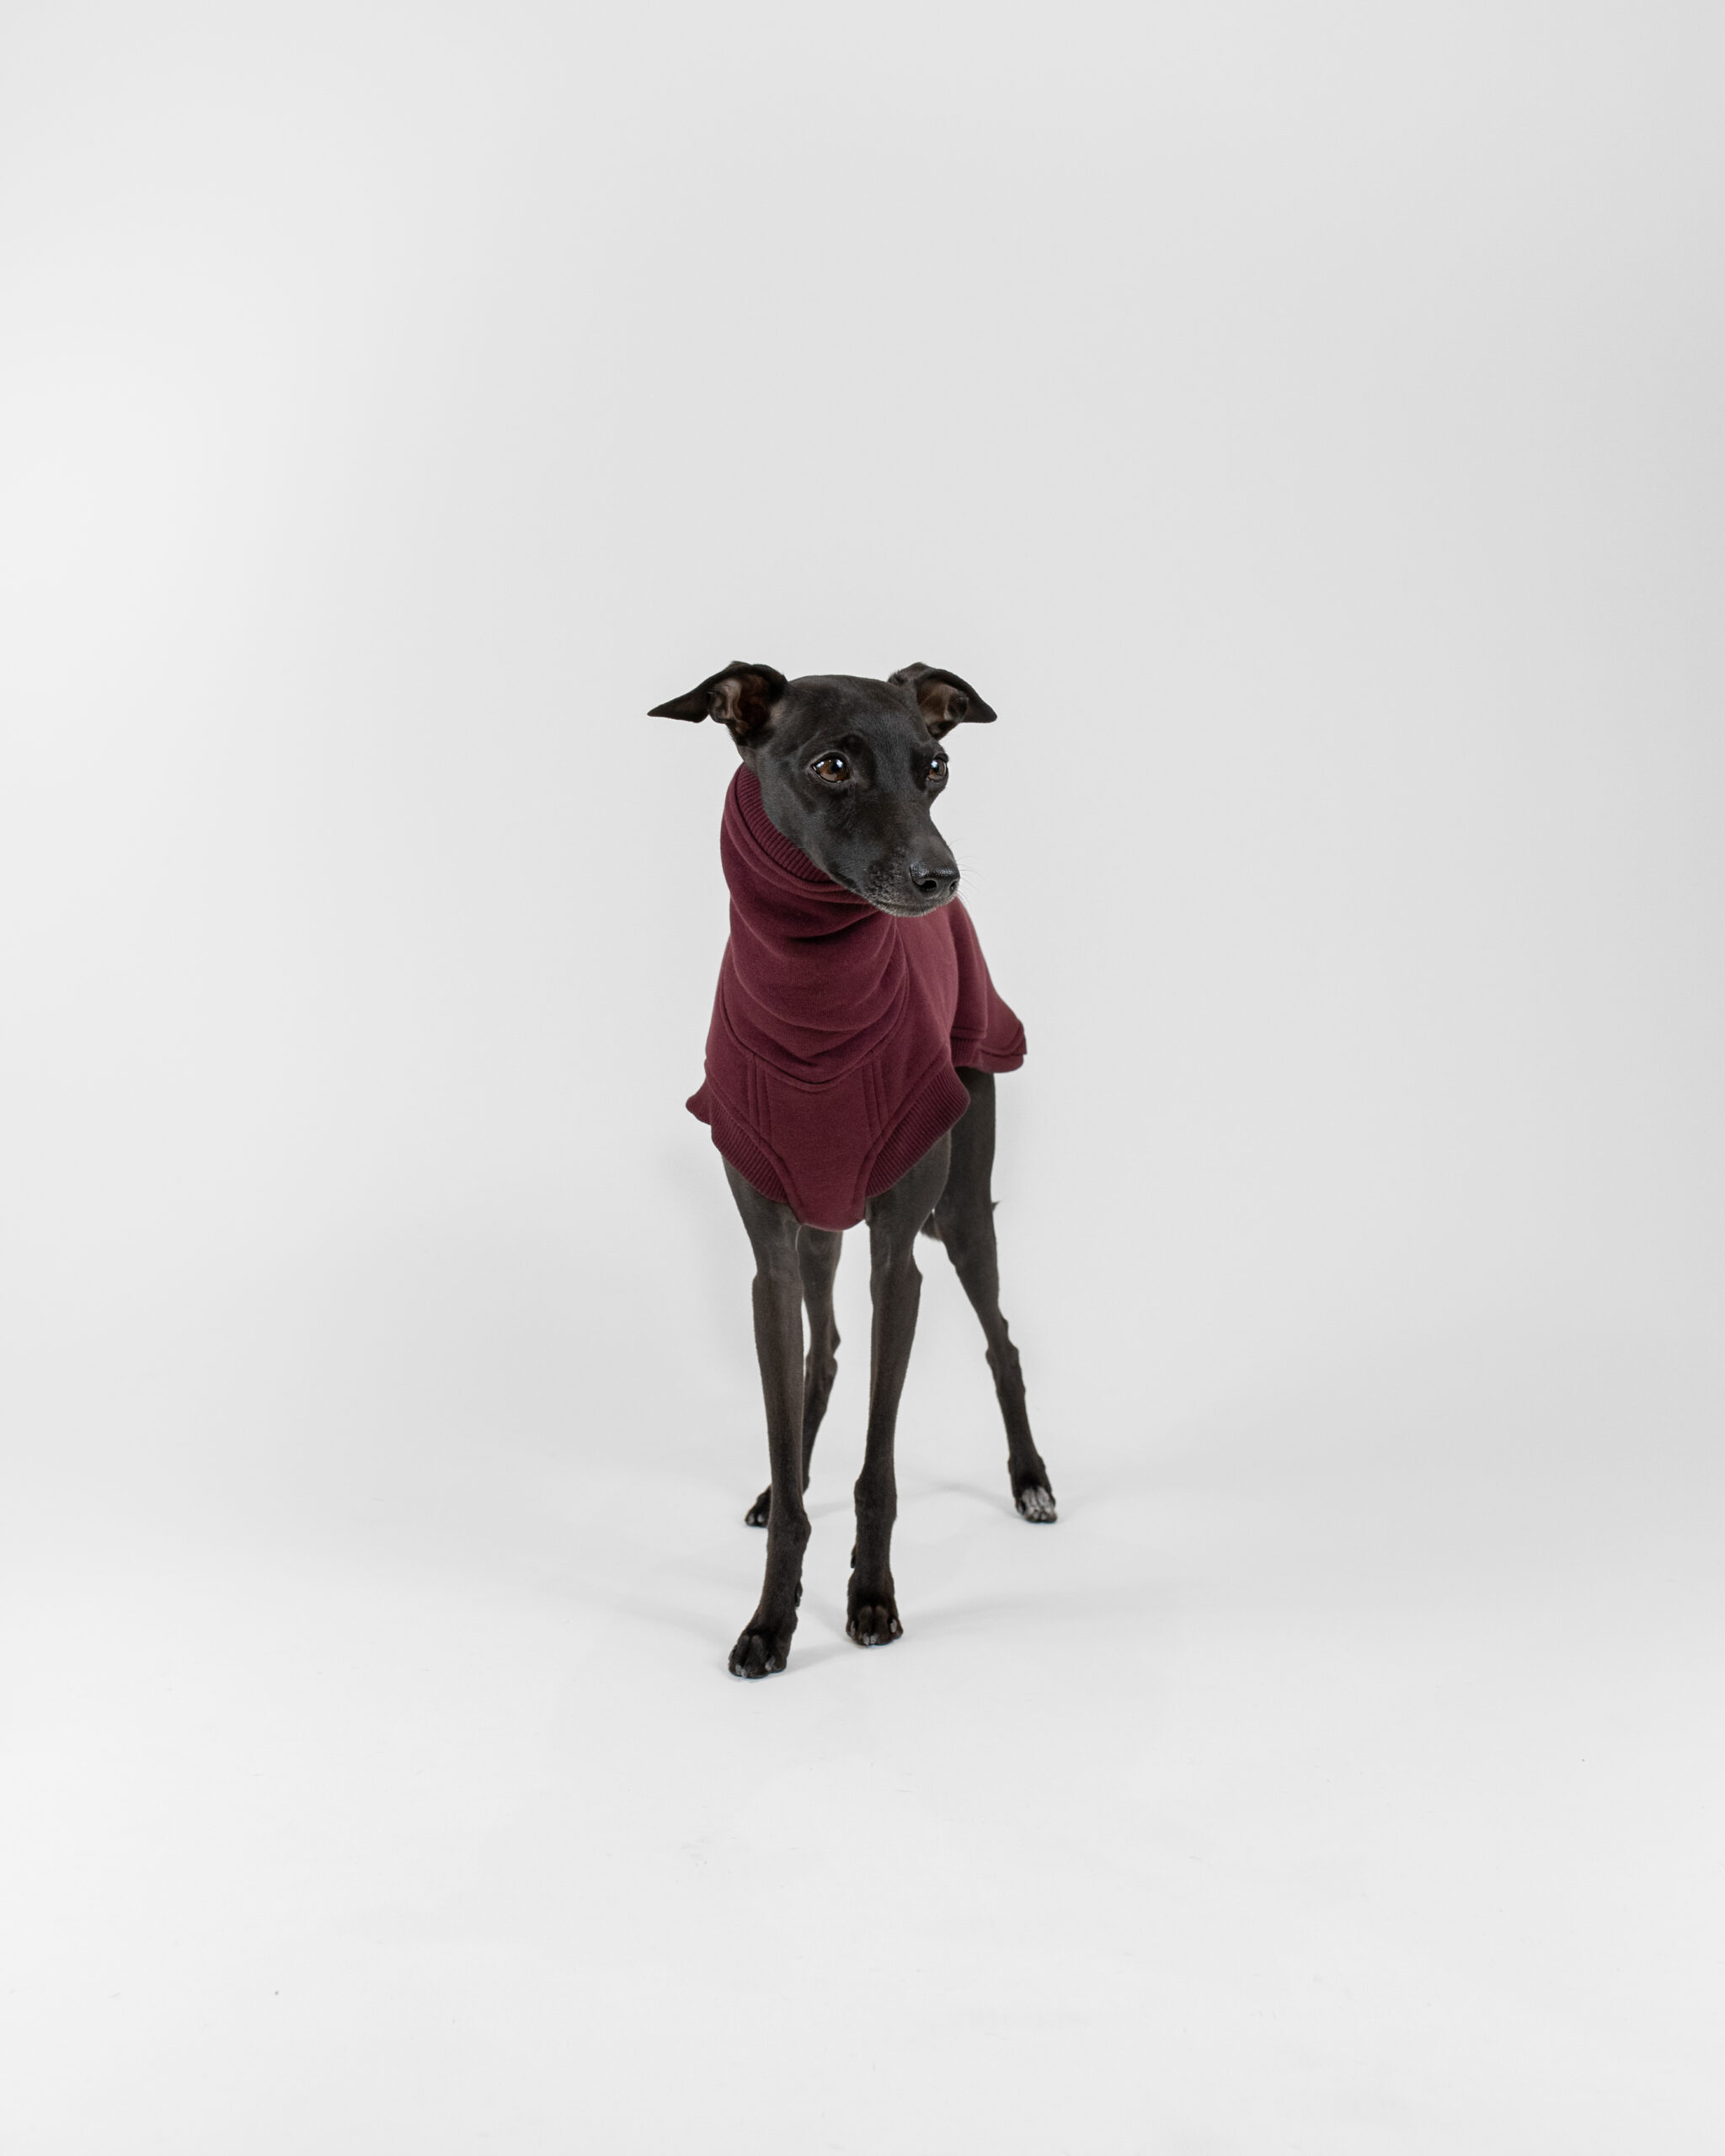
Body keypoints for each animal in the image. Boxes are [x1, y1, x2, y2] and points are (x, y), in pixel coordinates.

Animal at [651, 662, 1055, 1678]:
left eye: (936, 766)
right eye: (832, 765)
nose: (940, 878)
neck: (815, 1014)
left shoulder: (895, 1260)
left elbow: (880, 1470)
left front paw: (870, 1599)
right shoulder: (770, 1259)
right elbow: (793, 1428)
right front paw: (769, 1617)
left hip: (961, 1211)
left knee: (1000, 1338)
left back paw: (1031, 1480)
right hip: (820, 1228)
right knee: (822, 1352)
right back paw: (776, 1481)